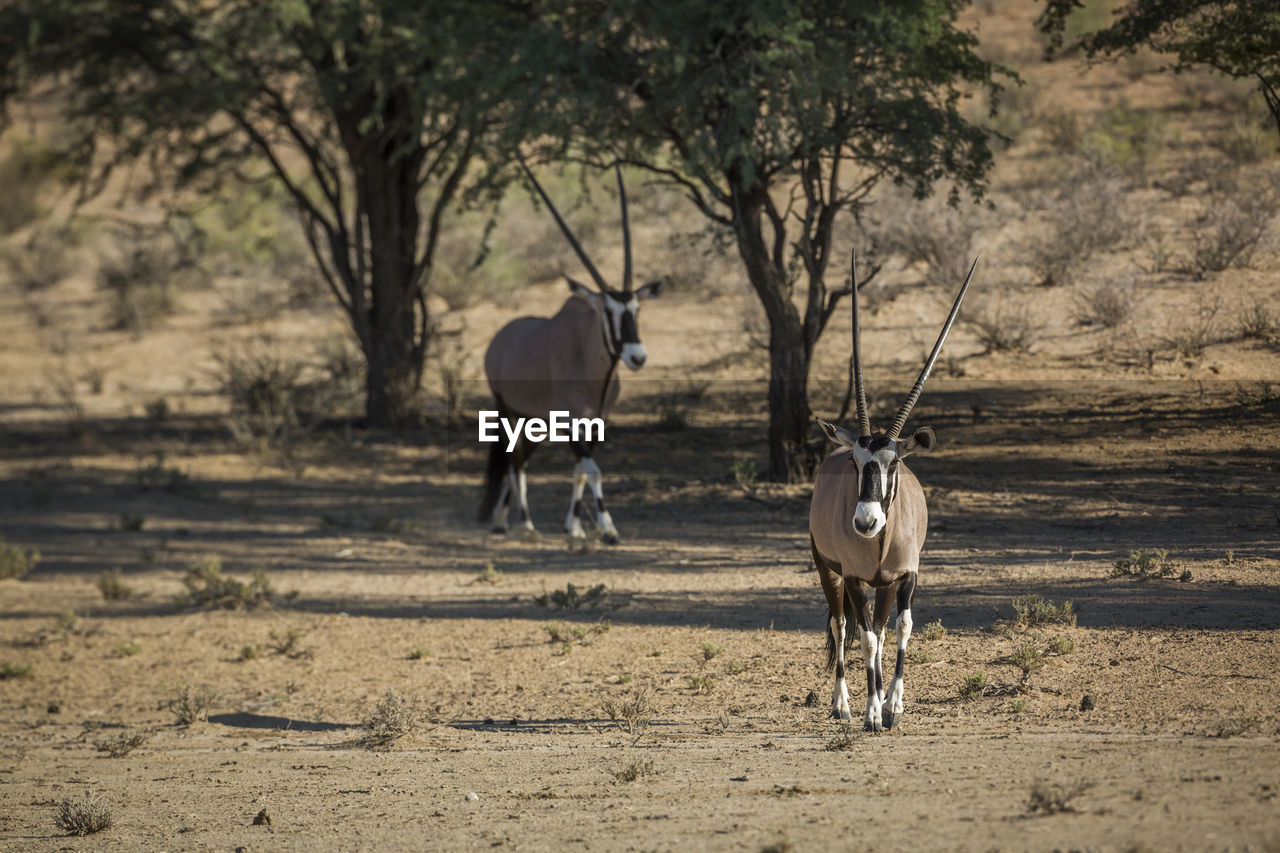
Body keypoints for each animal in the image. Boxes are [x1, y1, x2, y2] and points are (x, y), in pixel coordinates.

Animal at [476, 157, 665, 545]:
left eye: (637, 309)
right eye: (608, 311)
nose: (637, 357)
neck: (594, 371)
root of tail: (500, 338)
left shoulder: (596, 423)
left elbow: (580, 470)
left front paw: (574, 526)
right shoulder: (570, 423)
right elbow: (592, 470)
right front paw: (608, 529)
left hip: (533, 421)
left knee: (520, 459)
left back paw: (506, 518)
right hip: (509, 411)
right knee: (514, 462)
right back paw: (521, 523)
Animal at [808, 249, 977, 727]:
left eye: (894, 461)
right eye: (855, 461)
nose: (866, 521)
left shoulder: (906, 575)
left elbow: (900, 628)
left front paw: (893, 706)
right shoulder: (853, 576)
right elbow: (863, 638)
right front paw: (869, 711)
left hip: (882, 585)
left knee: (881, 629)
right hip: (828, 570)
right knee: (841, 625)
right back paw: (843, 705)